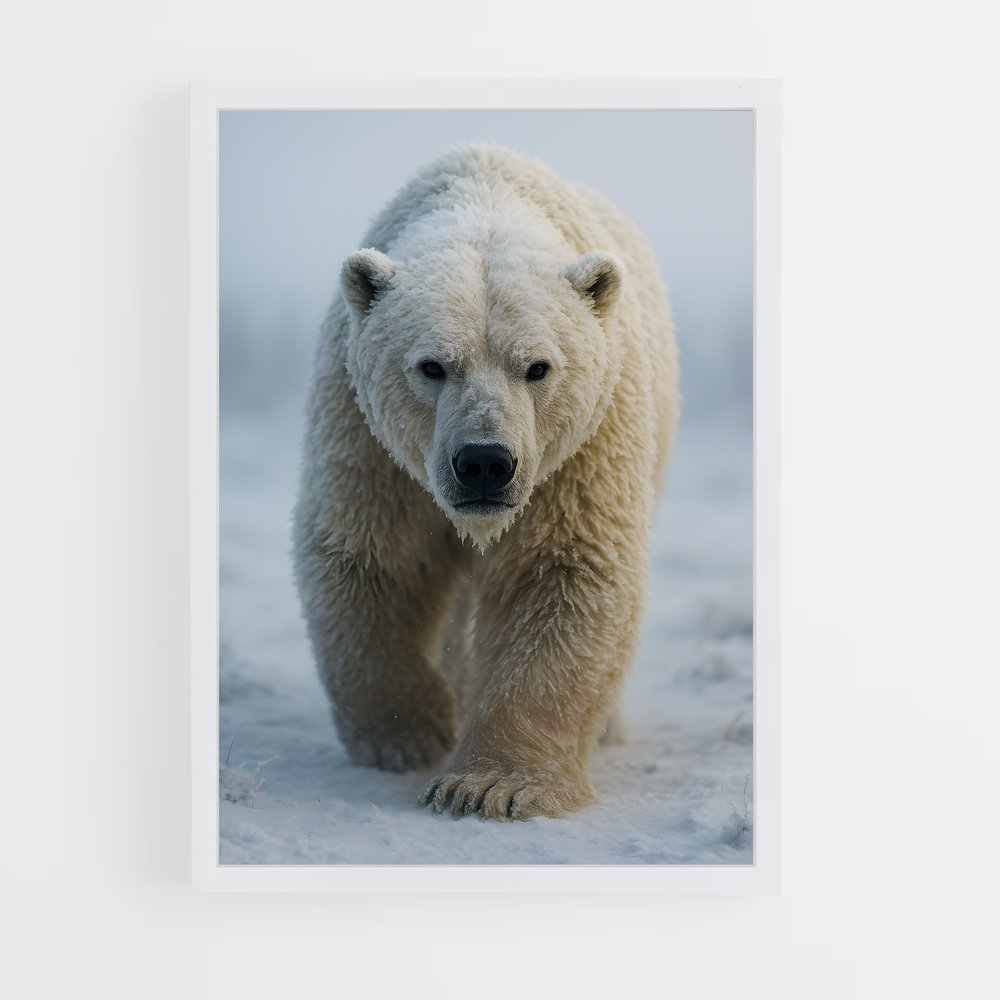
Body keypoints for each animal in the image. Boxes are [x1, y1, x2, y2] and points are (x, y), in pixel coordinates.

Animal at [293, 142, 679, 820]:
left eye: (538, 367)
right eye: (432, 366)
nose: (483, 463)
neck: (486, 196)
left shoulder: (580, 451)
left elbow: (562, 572)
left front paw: (489, 786)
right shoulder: (372, 444)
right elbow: (374, 555)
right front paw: (411, 732)